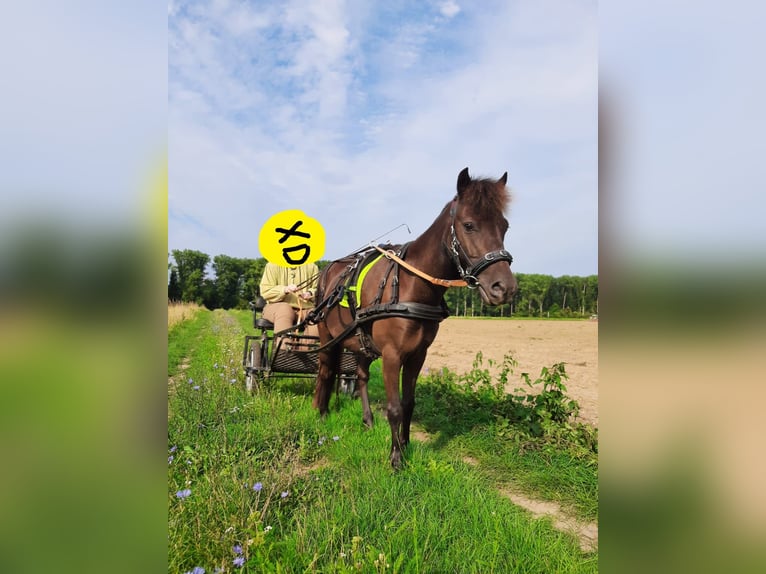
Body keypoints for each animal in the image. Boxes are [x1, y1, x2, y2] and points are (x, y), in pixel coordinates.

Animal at [311, 168, 517, 468]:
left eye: (504, 226)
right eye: (469, 225)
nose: (504, 288)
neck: (411, 285)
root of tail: (329, 271)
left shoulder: (417, 354)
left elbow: (408, 404)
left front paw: (405, 445)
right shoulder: (391, 354)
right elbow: (395, 408)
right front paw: (396, 458)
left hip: (361, 341)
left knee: (361, 376)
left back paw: (367, 420)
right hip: (329, 336)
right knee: (326, 370)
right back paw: (322, 412)